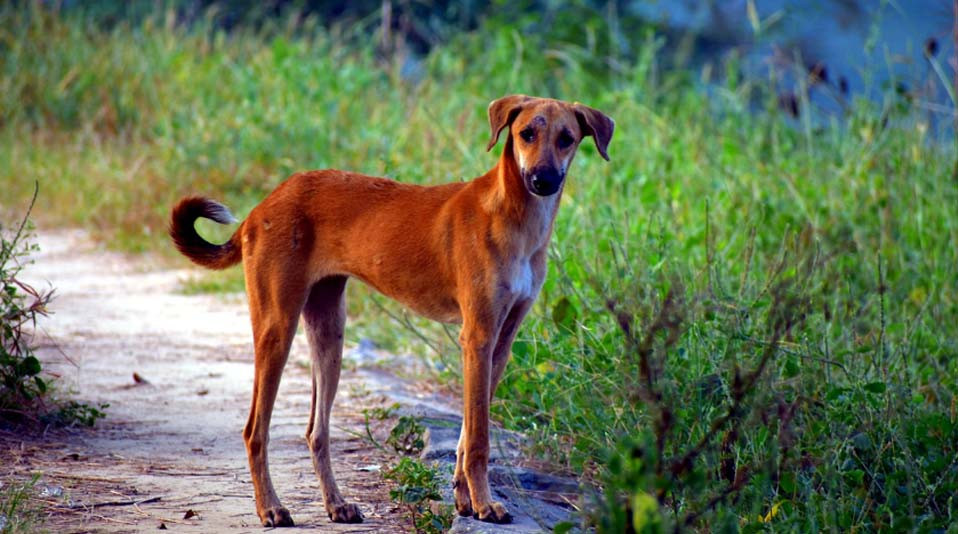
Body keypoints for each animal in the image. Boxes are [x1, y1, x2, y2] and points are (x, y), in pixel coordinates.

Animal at [169, 96, 616, 528]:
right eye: (526, 134)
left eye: (566, 138)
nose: (543, 180)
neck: (513, 217)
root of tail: (261, 207)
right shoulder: (477, 337)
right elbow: (478, 440)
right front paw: (486, 504)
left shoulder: (500, 344)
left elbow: (466, 434)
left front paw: (465, 500)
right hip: (277, 327)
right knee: (254, 431)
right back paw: (271, 510)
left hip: (329, 334)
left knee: (316, 431)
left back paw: (337, 504)